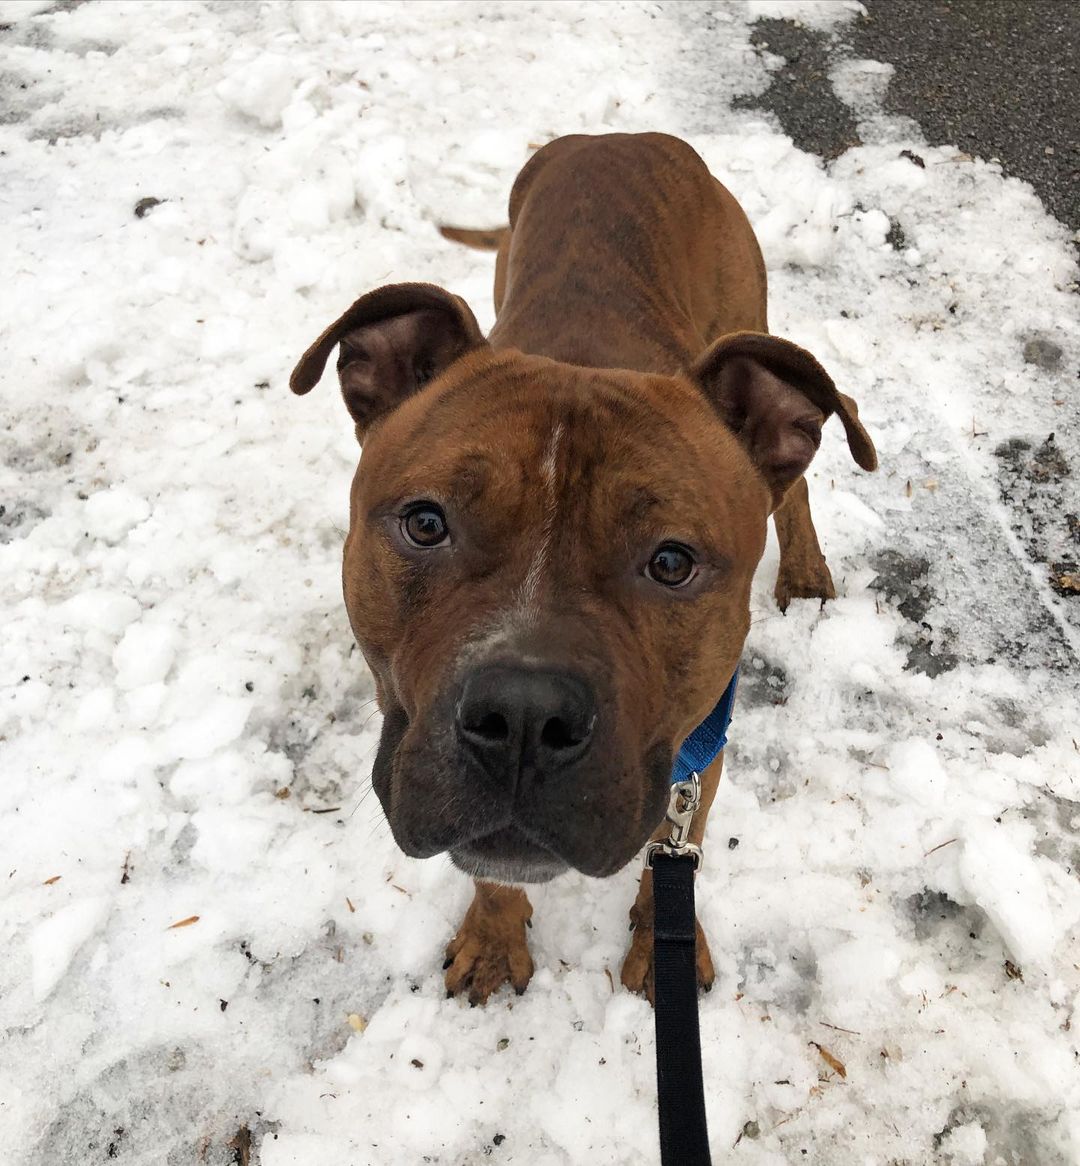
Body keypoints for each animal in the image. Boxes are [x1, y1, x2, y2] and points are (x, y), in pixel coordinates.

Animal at [289, 134, 877, 1002]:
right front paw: (494, 941)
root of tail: (622, 138)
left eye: (671, 561)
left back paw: (803, 572)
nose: (523, 718)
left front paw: (662, 952)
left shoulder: (697, 752)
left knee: (795, 481)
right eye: (426, 523)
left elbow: (675, 855)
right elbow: (494, 872)